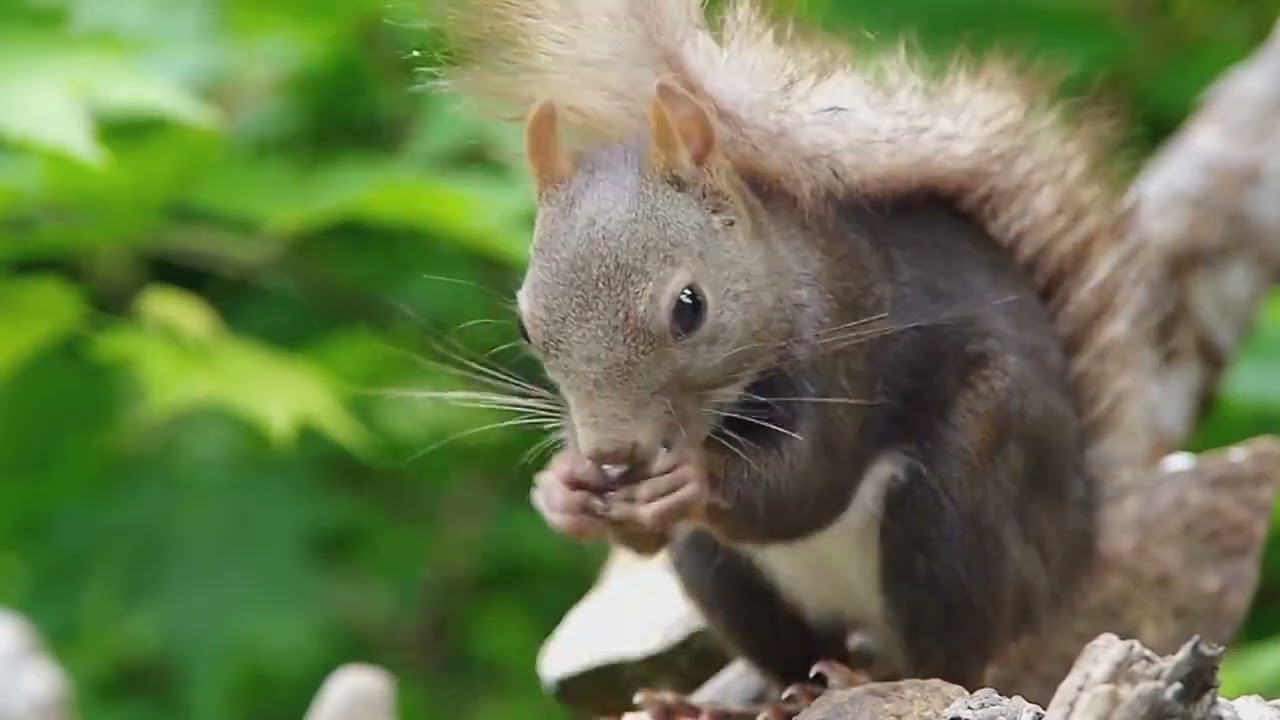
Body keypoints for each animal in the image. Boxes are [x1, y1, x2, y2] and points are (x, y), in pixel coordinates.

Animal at [432, 0, 1161, 717]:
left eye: (689, 306)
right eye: (526, 325)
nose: (612, 452)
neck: (780, 276)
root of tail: (1071, 554)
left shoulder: (844, 349)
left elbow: (807, 485)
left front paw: (694, 475)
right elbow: (646, 537)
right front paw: (563, 490)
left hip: (960, 497)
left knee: (947, 657)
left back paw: (867, 679)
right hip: (720, 570)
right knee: (786, 655)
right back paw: (732, 703)